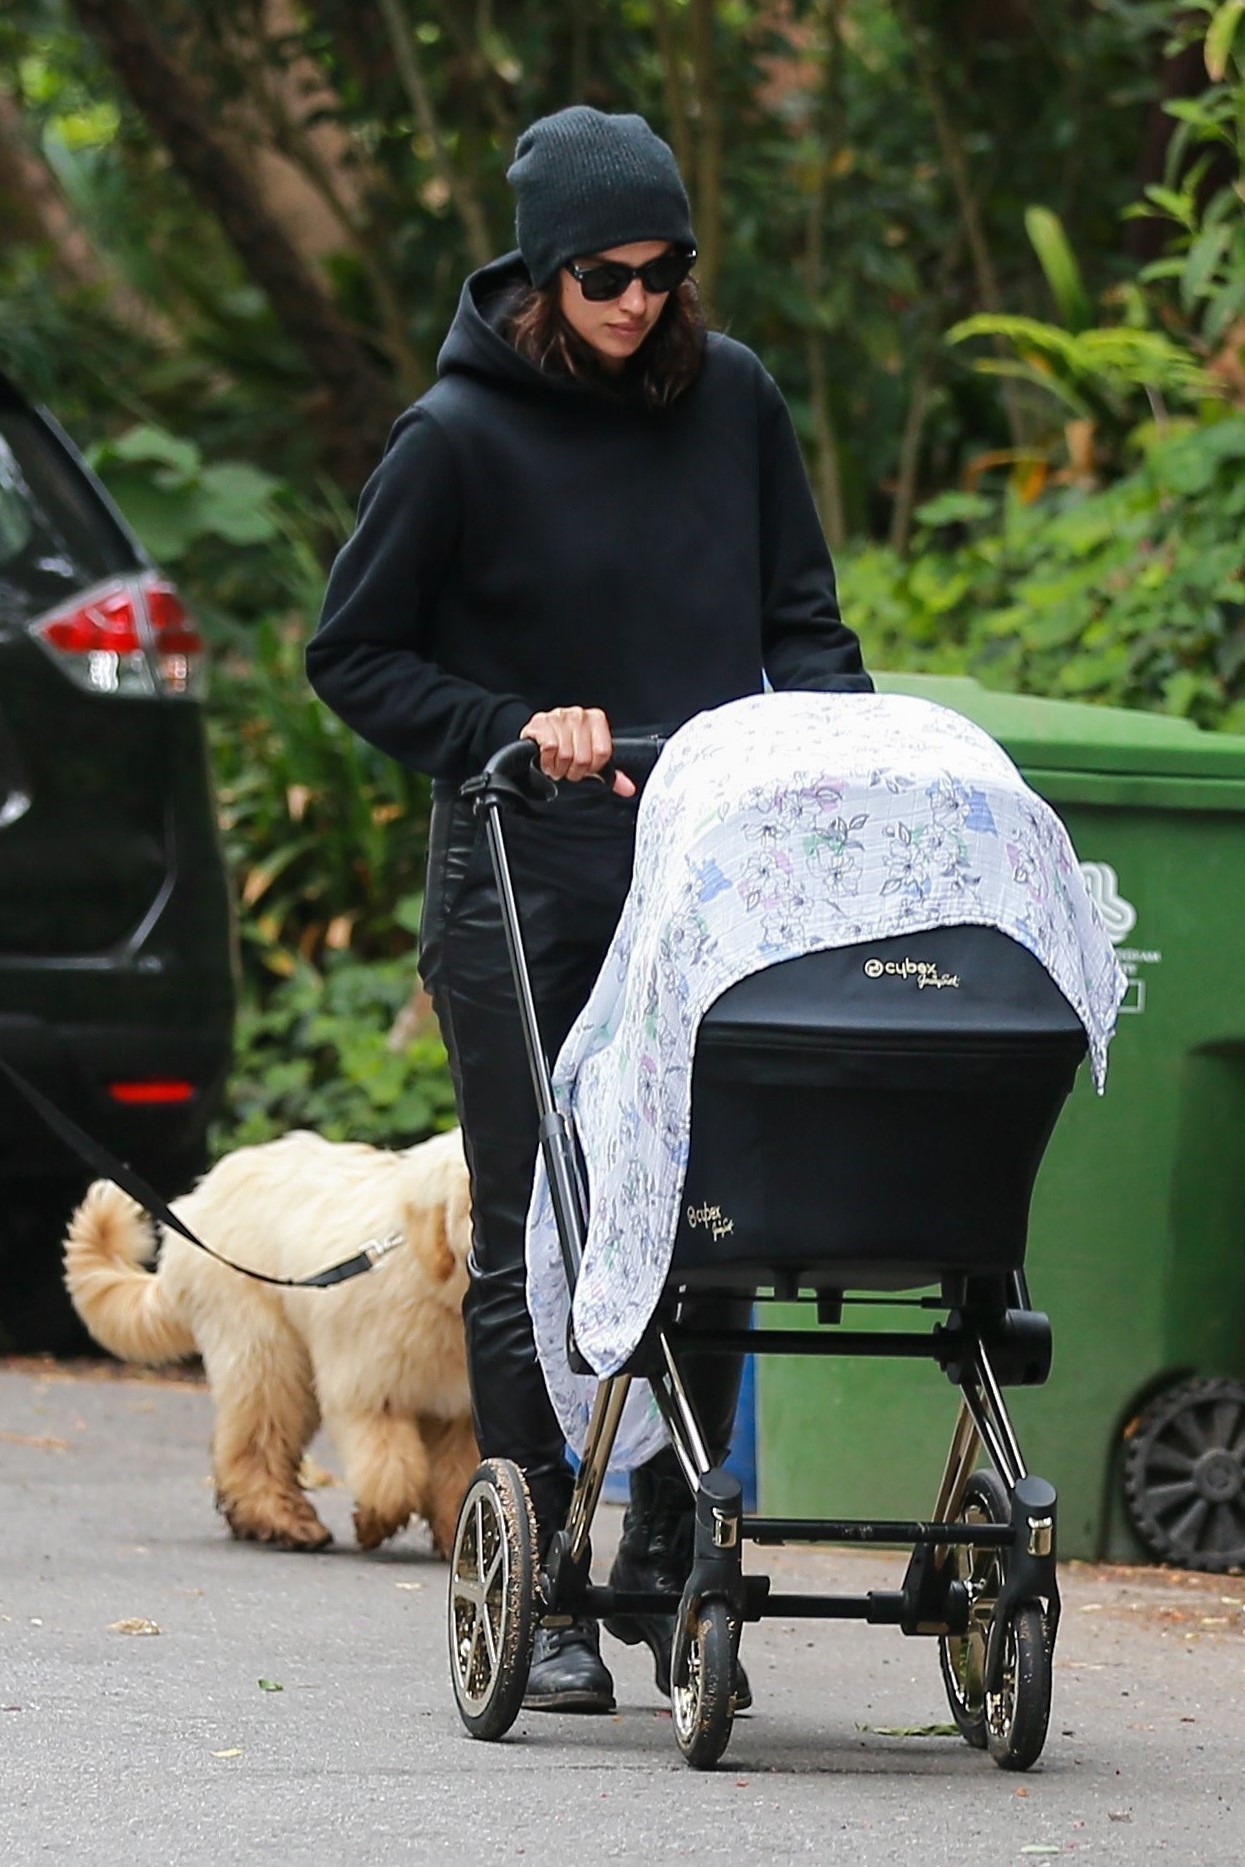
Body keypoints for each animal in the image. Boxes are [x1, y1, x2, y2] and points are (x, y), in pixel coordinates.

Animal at [62, 1127, 481, 1553]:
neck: (426, 1276)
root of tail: (198, 1202)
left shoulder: (457, 1410)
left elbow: (455, 1474)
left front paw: (459, 1534)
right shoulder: (366, 1393)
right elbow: (393, 1474)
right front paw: (374, 1522)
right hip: (264, 1355)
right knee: (255, 1444)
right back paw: (282, 1520)